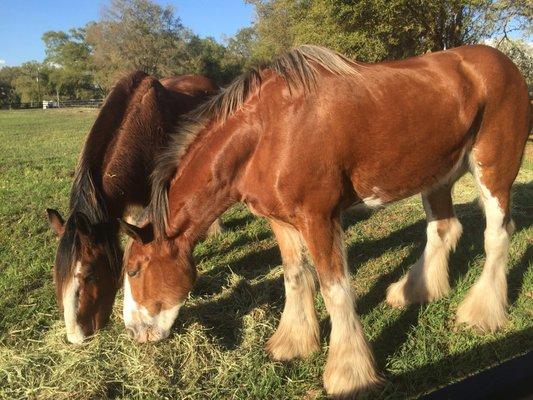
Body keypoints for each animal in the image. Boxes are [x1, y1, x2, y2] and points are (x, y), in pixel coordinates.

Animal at [121, 46, 532, 396]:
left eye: (135, 270)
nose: (134, 332)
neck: (266, 132)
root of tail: (506, 65)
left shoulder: (318, 218)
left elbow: (334, 290)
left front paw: (349, 373)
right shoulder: (281, 222)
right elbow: (295, 277)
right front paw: (292, 343)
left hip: (493, 171)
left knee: (496, 236)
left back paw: (481, 314)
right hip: (437, 175)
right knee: (444, 229)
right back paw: (415, 290)